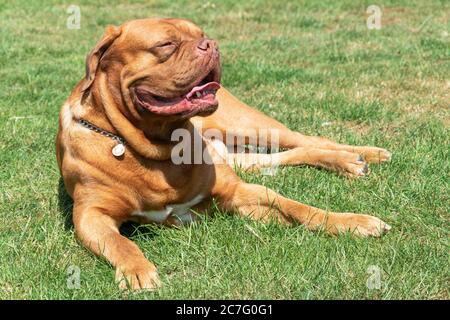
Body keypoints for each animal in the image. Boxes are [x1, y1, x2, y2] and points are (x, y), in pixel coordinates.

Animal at [56, 18, 392, 292]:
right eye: (166, 44)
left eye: (201, 34)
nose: (211, 45)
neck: (156, 148)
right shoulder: (91, 214)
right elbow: (120, 243)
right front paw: (137, 271)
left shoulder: (237, 190)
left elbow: (299, 207)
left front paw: (353, 222)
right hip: (244, 157)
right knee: (294, 152)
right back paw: (351, 162)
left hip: (249, 125)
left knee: (308, 138)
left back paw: (363, 155)